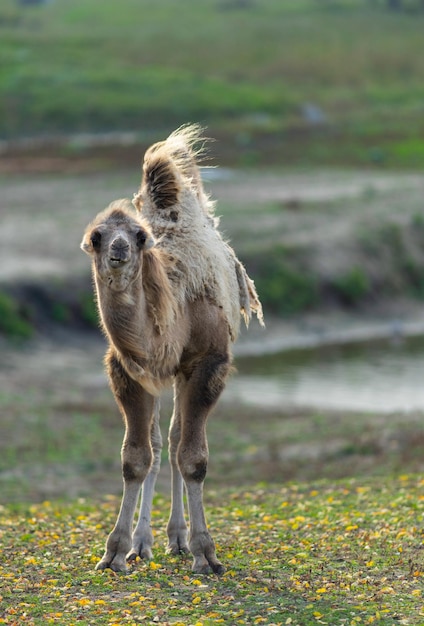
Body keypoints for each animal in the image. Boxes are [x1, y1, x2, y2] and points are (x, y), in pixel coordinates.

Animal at [81, 124, 264, 572]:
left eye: (139, 235)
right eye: (96, 236)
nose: (119, 249)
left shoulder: (207, 362)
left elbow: (194, 458)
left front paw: (205, 553)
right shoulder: (129, 369)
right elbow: (136, 457)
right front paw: (115, 551)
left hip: (182, 372)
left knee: (178, 437)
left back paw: (179, 539)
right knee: (161, 442)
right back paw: (145, 542)